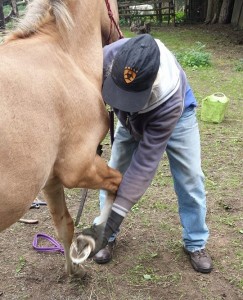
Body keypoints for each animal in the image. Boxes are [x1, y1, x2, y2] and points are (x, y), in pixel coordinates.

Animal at [0, 0, 121, 276]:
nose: (120, 38)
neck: (65, 55)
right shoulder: (79, 168)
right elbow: (115, 185)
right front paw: (91, 239)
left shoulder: (50, 179)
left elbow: (64, 224)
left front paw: (73, 269)